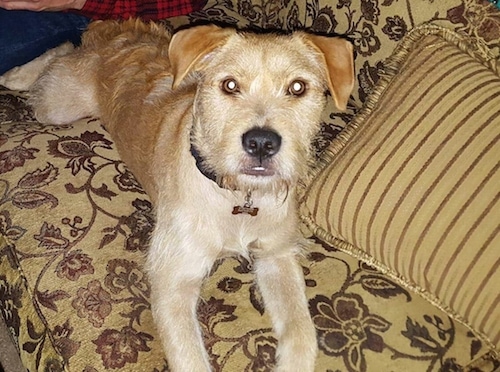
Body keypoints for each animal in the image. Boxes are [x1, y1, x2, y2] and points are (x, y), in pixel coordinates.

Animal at [3, 18, 356, 370]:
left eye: (297, 88)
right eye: (229, 85)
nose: (261, 143)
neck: (237, 197)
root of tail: (116, 32)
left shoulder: (277, 255)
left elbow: (301, 330)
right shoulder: (173, 280)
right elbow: (190, 357)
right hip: (58, 105)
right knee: (61, 52)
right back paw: (15, 75)